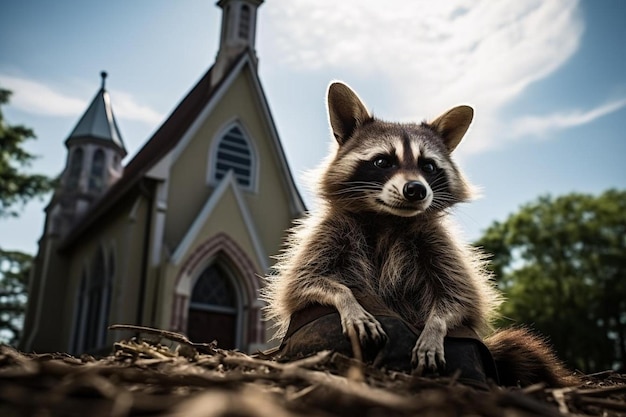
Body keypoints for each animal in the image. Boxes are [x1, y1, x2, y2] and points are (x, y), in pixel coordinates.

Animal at [260, 81, 576, 386]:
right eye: (382, 161)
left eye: (428, 165)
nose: (416, 190)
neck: (389, 219)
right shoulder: (330, 233)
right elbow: (305, 282)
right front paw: (349, 302)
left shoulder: (438, 243)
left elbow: (460, 297)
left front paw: (434, 327)